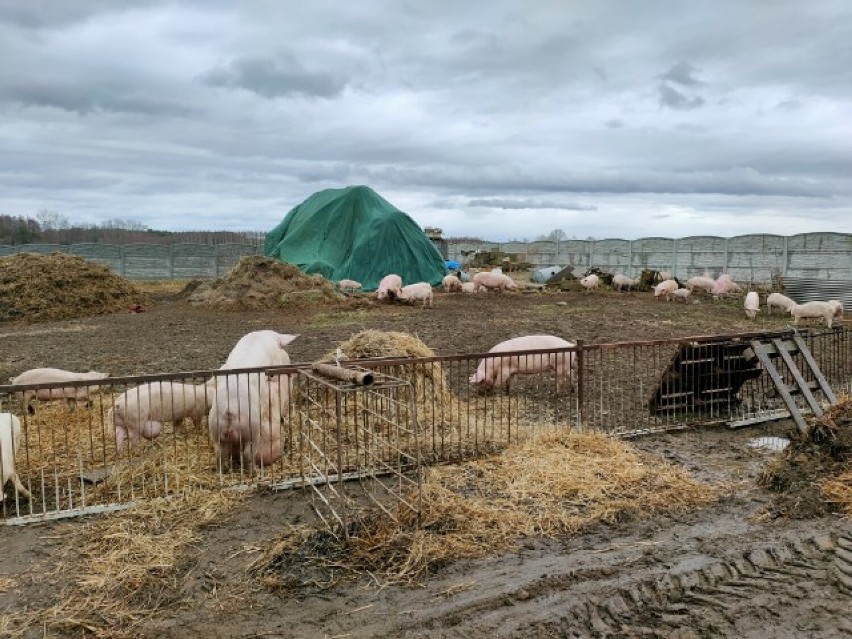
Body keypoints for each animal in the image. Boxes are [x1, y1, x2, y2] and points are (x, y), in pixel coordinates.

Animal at [207, 332, 298, 472]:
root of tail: (229, 411)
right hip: (252, 431)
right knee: (247, 454)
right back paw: (255, 471)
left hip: (216, 431)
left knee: (221, 454)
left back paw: (223, 470)